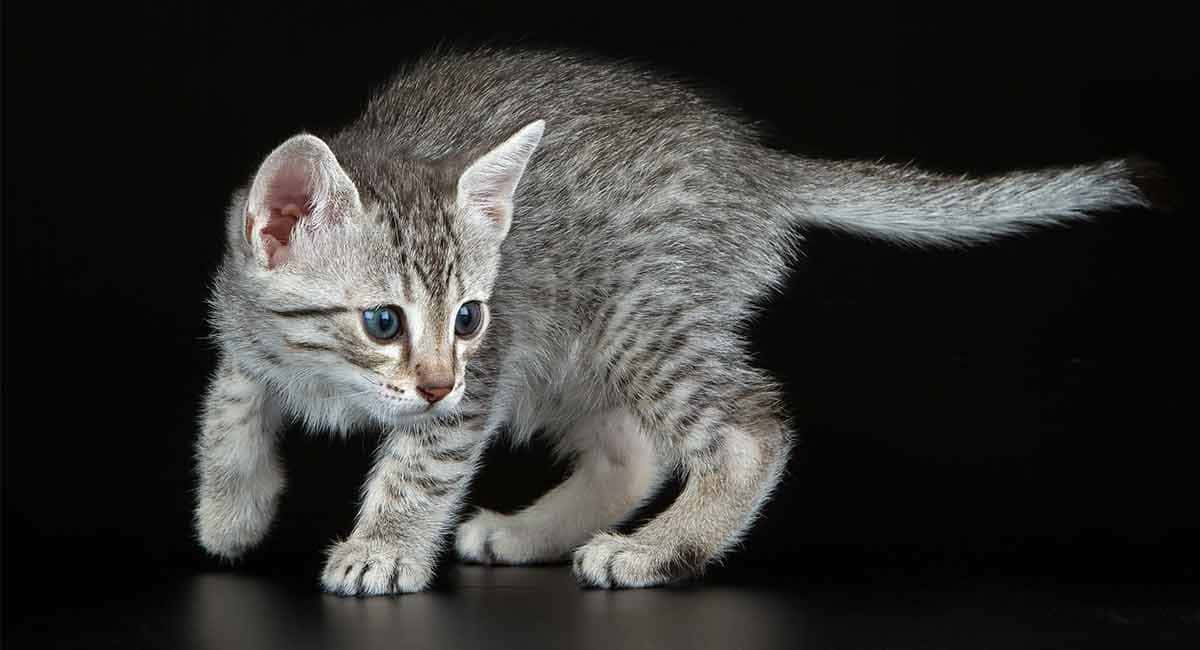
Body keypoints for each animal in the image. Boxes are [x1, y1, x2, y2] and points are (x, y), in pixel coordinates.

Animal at [192, 44, 1156, 597]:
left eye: (467, 317)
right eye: (385, 321)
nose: (435, 379)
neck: (322, 369)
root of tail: (759, 169)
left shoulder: (486, 372)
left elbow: (418, 466)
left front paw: (384, 548)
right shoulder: (241, 319)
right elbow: (230, 403)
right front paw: (232, 507)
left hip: (641, 317)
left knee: (749, 431)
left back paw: (660, 551)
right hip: (573, 346)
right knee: (633, 452)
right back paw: (532, 532)